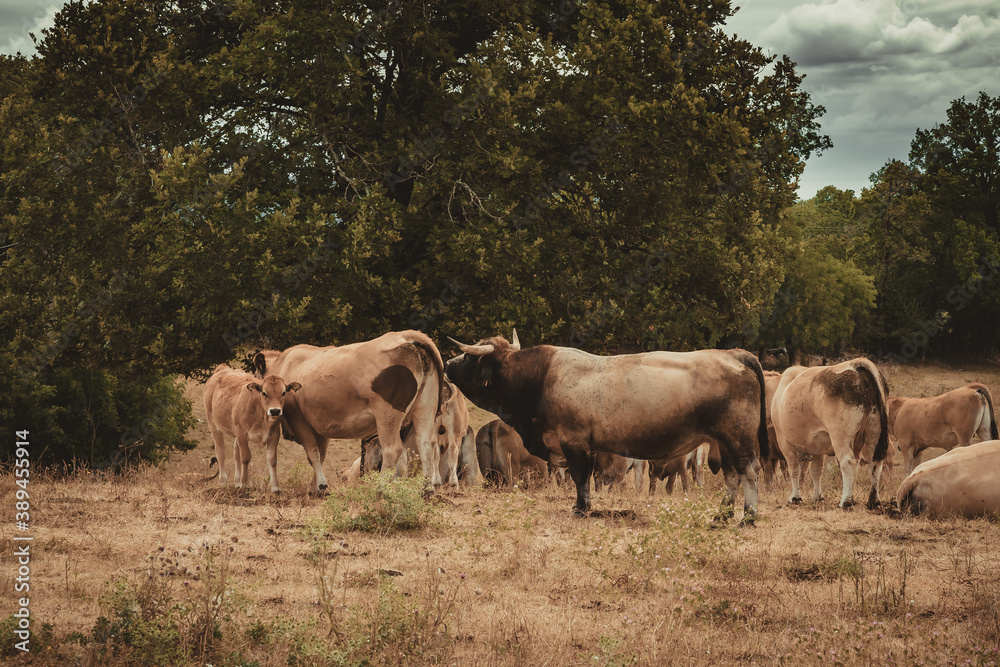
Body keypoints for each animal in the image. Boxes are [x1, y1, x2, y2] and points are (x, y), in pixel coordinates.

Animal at [254, 332, 446, 494]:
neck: (283, 366)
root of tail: (406, 337)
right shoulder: (321, 428)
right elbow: (320, 455)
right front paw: (316, 486)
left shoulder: (298, 419)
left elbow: (313, 453)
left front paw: (320, 485)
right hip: (425, 410)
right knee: (426, 443)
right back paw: (427, 488)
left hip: (387, 416)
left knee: (393, 449)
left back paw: (381, 487)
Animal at [768, 360, 888, 512]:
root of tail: (855, 364)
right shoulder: (817, 447)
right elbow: (816, 471)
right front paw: (817, 497)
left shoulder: (784, 442)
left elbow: (794, 470)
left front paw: (795, 498)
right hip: (874, 432)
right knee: (875, 464)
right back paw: (873, 501)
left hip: (840, 437)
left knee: (848, 463)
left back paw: (846, 501)